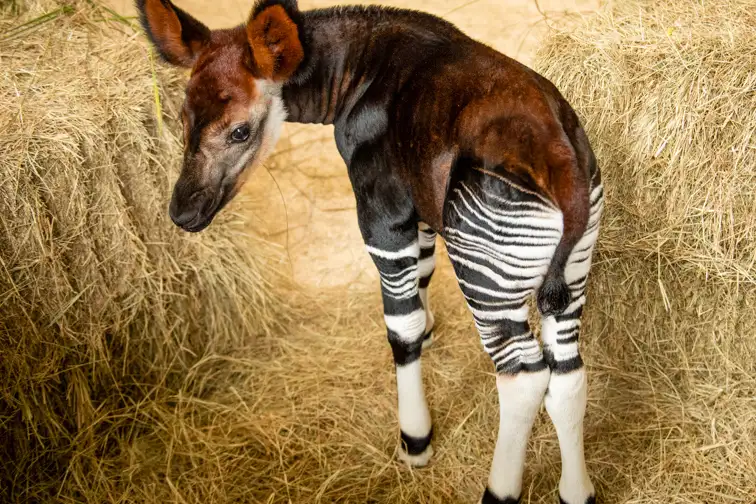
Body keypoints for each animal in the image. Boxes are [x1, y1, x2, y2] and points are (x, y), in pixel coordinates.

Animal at [137, 0, 604, 502]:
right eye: (182, 119)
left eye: (240, 132)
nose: (182, 212)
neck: (357, 72)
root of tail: (562, 164)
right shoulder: (419, 207)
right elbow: (423, 274)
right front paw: (430, 332)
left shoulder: (381, 212)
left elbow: (400, 326)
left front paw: (415, 438)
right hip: (574, 270)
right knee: (567, 372)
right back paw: (576, 491)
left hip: (487, 271)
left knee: (524, 375)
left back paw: (498, 490)